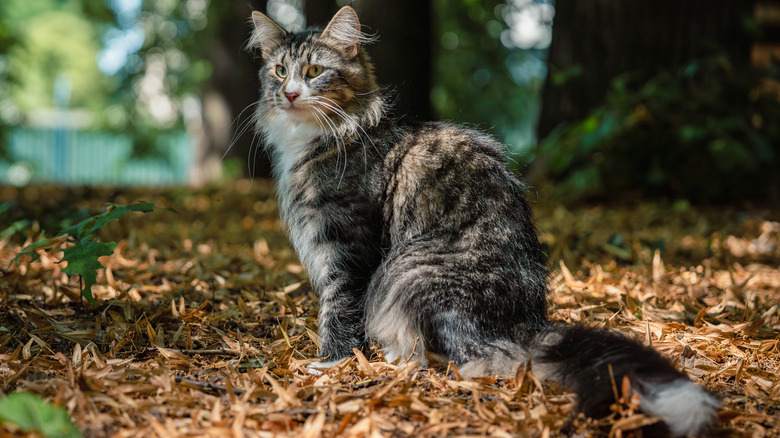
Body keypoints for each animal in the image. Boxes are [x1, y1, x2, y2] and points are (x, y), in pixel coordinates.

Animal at [248, 6, 720, 438]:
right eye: (280, 71)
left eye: (314, 71)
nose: (289, 94)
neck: (320, 140)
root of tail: (523, 323)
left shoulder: (347, 244)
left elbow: (339, 308)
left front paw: (332, 363)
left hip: (407, 271)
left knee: (469, 358)